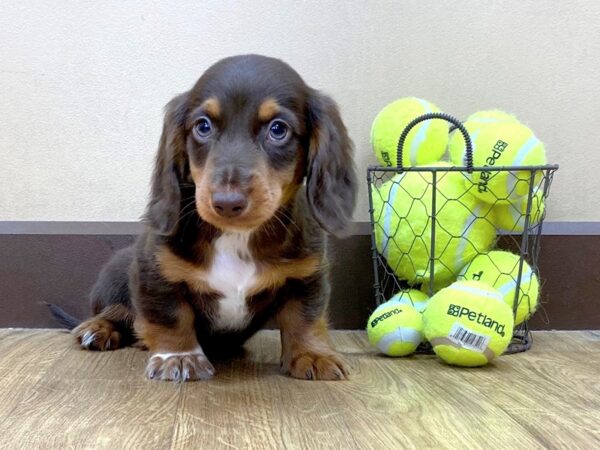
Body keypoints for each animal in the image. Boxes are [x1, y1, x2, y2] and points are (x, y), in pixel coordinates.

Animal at [50, 54, 356, 382]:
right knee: (116, 311)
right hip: (117, 269)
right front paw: (179, 356)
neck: (236, 237)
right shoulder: (154, 270)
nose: (227, 202)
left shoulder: (308, 273)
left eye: (278, 129)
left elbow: (305, 316)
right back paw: (97, 328)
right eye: (203, 126)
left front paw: (312, 354)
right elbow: (170, 316)